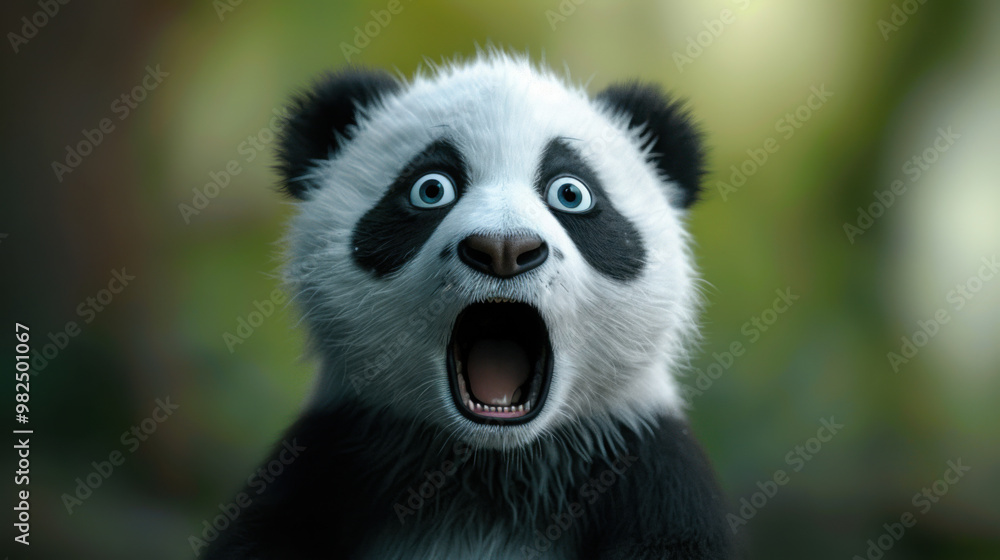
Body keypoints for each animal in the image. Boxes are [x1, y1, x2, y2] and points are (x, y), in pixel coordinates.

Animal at [205, 52, 735, 559]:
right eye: (431, 188)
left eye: (571, 193)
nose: (503, 248)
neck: (490, 466)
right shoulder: (329, 461)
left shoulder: (650, 474)